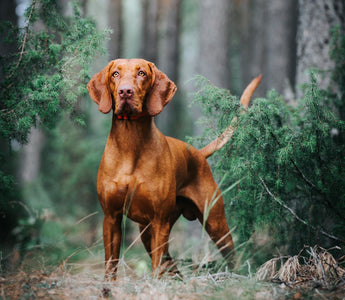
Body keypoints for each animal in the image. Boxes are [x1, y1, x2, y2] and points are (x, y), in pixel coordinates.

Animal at [86, 58, 260, 278]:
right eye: (115, 74)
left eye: (142, 73)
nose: (125, 92)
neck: (130, 144)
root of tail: (198, 153)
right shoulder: (111, 218)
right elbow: (111, 265)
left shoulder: (159, 220)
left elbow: (156, 265)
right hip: (147, 231)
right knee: (171, 263)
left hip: (214, 222)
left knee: (230, 254)